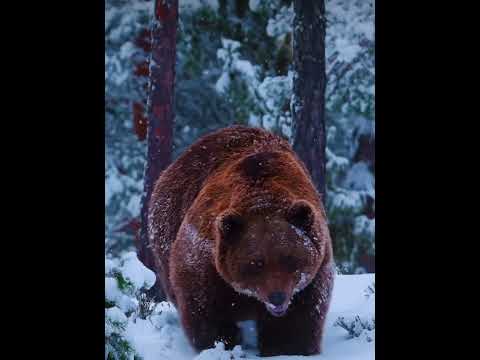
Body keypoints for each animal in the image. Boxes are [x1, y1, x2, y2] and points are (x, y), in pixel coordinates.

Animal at [149, 125, 334, 356]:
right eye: (257, 262)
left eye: (289, 258)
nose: (277, 297)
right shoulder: (206, 260)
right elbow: (206, 311)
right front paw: (221, 345)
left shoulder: (313, 273)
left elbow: (297, 320)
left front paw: (287, 348)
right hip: (167, 226)